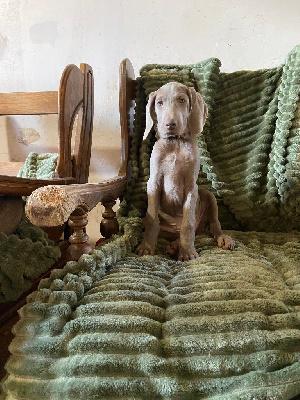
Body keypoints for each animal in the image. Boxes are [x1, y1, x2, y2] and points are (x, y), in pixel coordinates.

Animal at [136, 82, 234, 262]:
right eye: (159, 103)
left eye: (182, 100)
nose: (170, 124)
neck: (176, 143)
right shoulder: (153, 182)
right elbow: (153, 221)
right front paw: (146, 247)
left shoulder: (191, 187)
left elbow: (187, 224)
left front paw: (187, 251)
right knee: (153, 224)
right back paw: (173, 246)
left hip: (208, 195)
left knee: (213, 226)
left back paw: (222, 238)